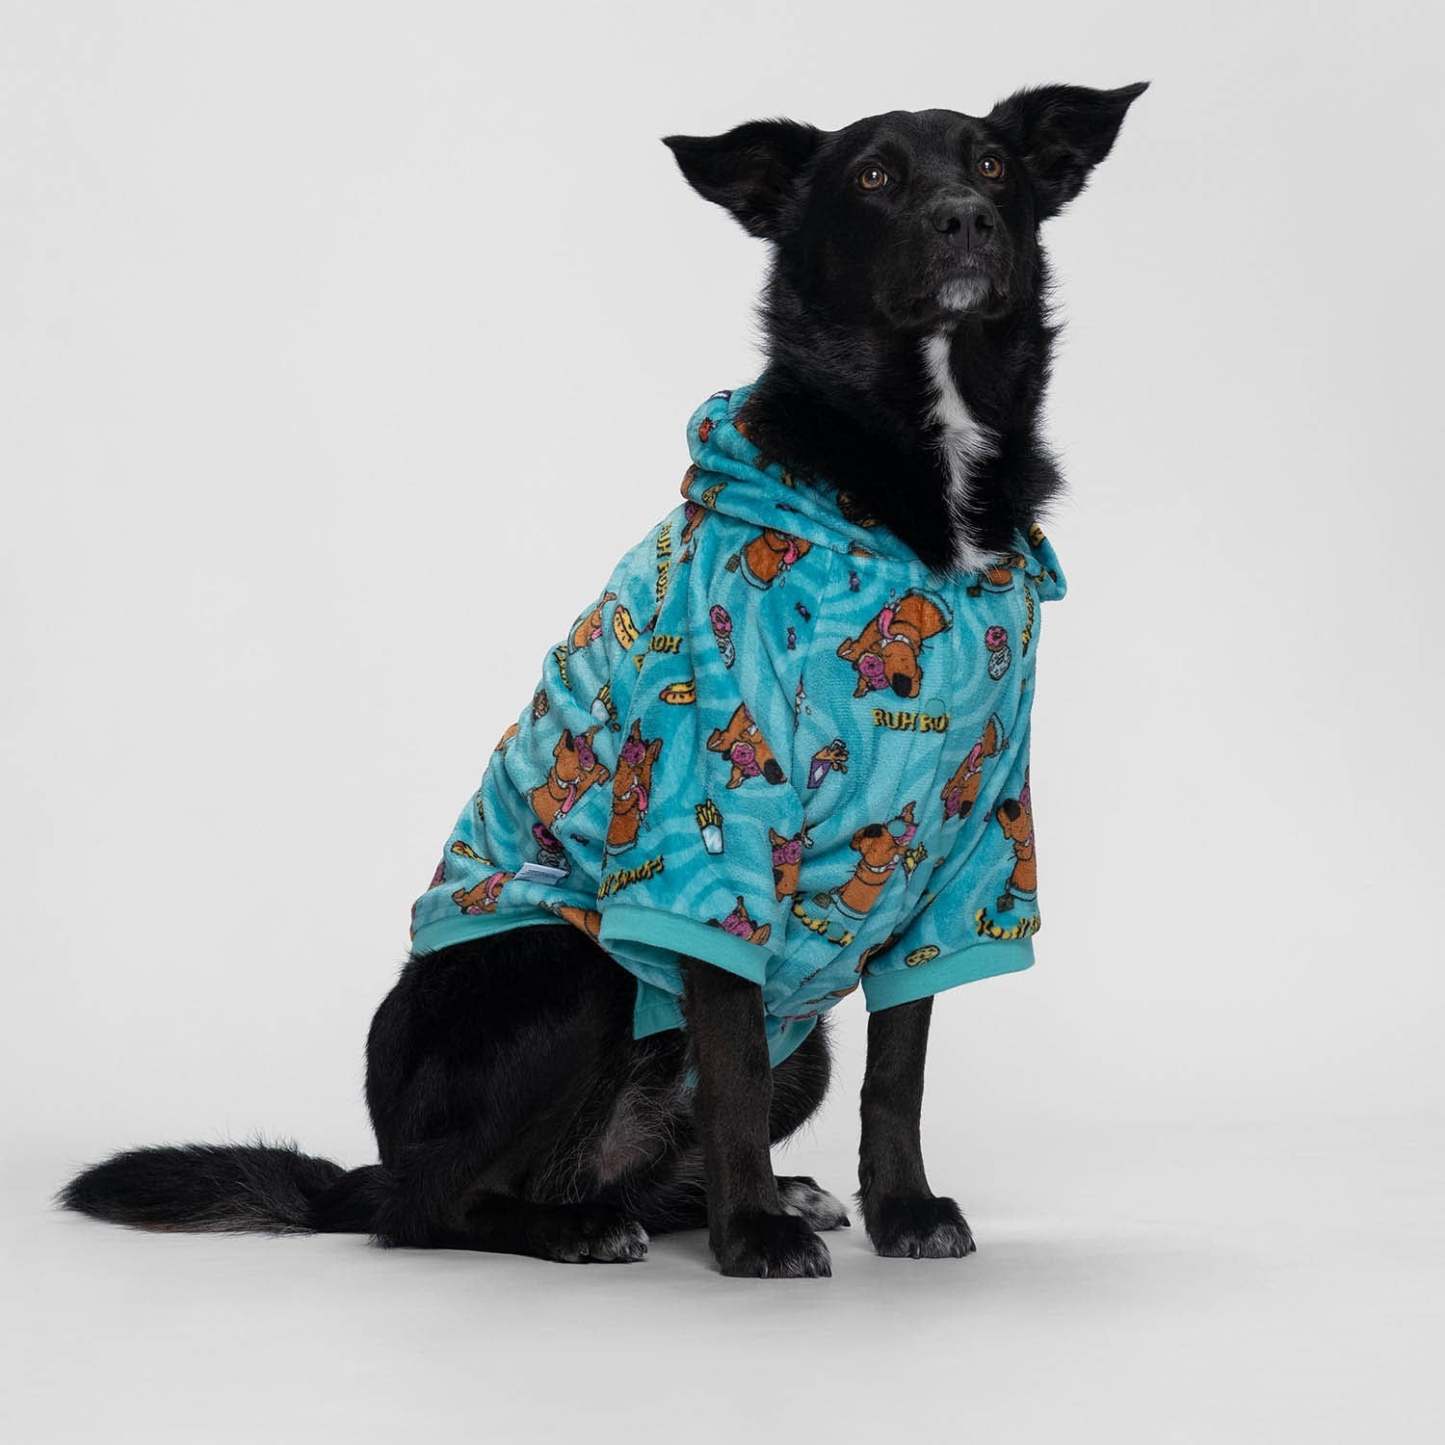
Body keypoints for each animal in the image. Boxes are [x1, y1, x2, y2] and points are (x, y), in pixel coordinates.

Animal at [62, 84, 1146, 1278]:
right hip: (573, 967)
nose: (965, 219)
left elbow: (896, 1070)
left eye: (993, 163)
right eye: (872, 178)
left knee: (642, 1158)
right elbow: (731, 1064)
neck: (913, 505)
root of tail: (374, 1159)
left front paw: (900, 1210)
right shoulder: (710, 841)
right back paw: (585, 1224)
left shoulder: (961, 856)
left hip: (792, 1036)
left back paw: (726, 1194)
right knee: (435, 1206)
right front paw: (753, 1236)